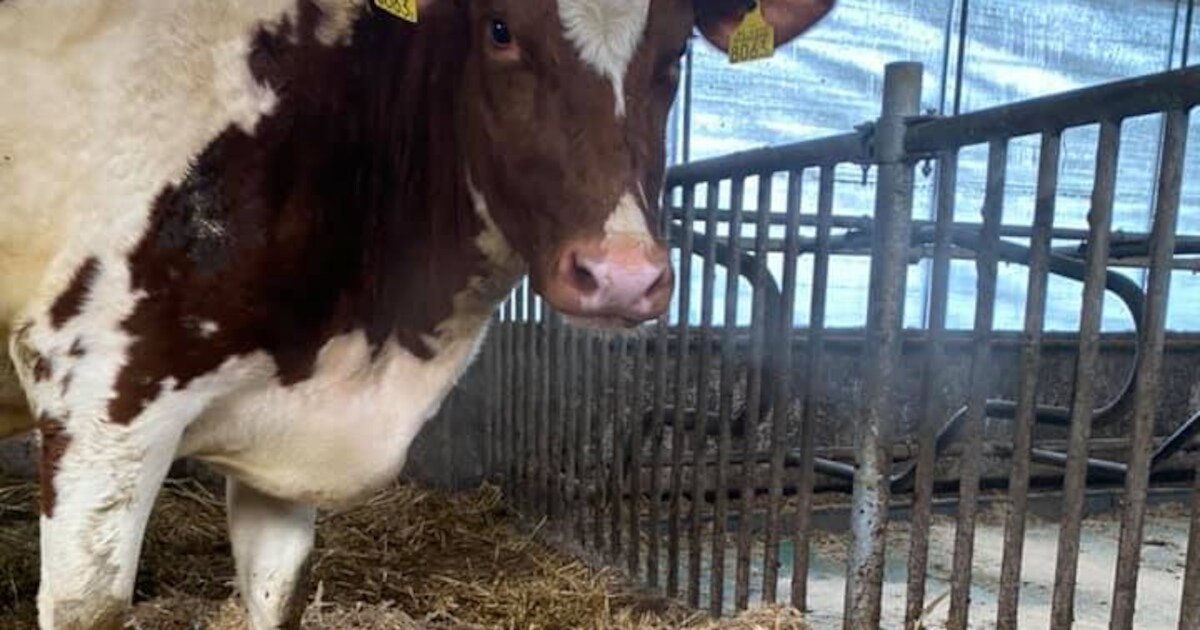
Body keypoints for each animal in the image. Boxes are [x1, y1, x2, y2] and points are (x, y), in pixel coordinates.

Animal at [0, 0, 834, 627]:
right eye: (499, 28)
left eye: (676, 50)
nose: (623, 276)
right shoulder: (97, 393)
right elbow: (88, 606)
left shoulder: (288, 437)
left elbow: (277, 595)